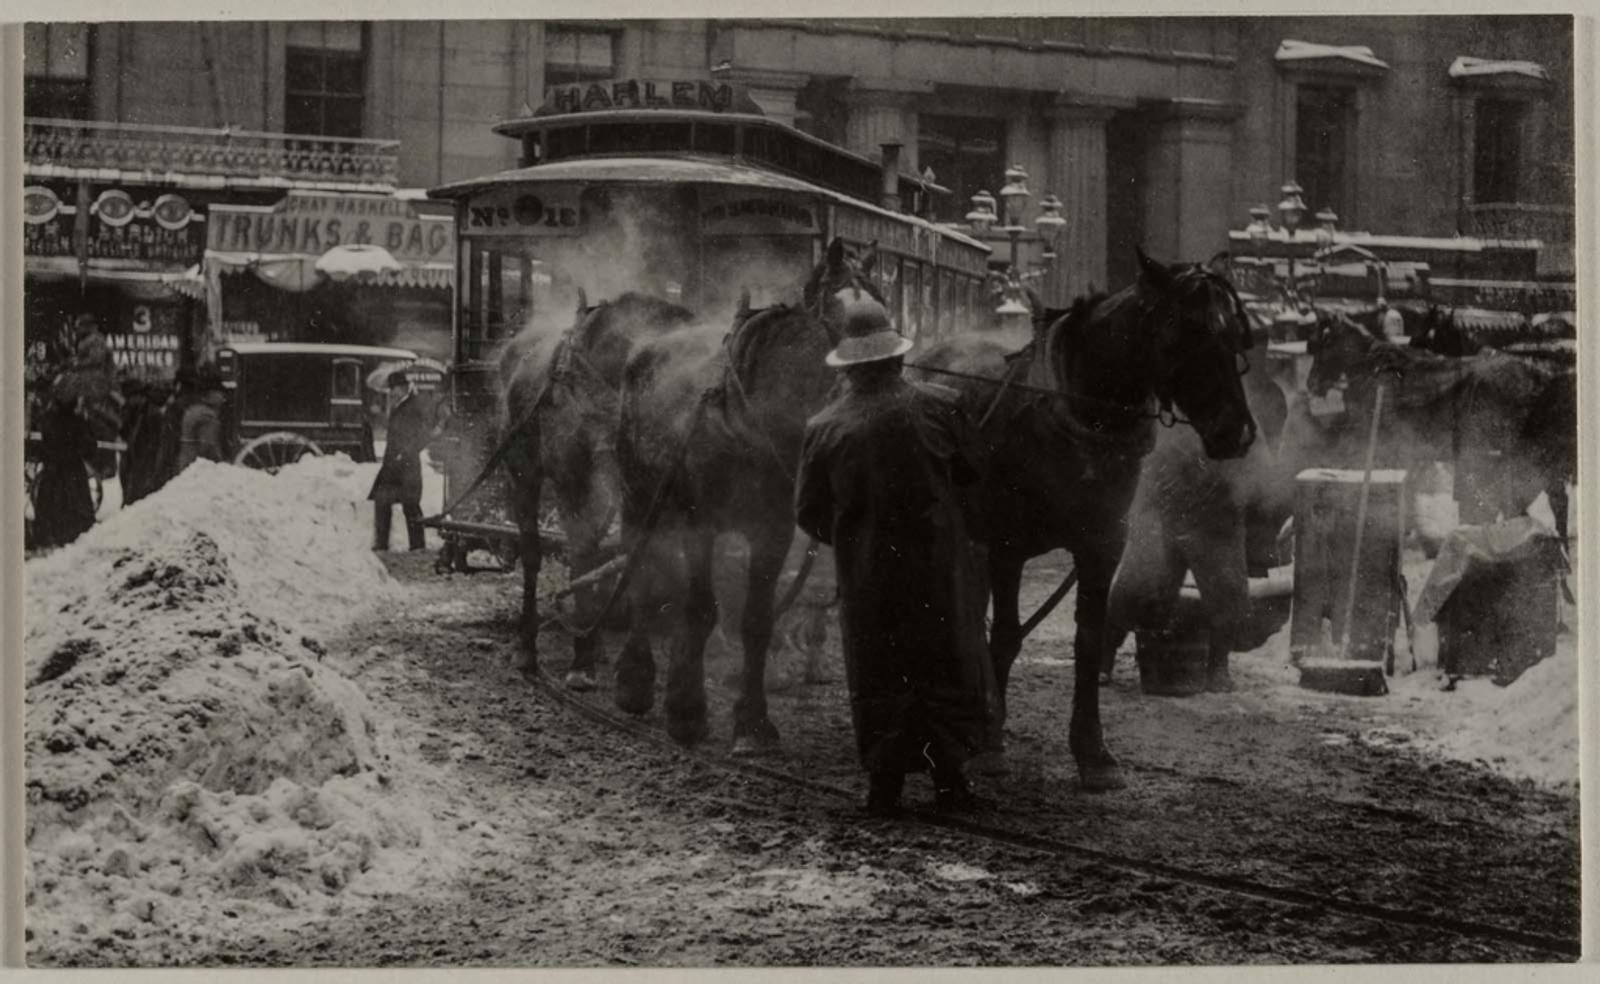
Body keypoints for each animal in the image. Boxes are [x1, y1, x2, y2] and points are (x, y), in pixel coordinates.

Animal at [496, 288, 697, 681]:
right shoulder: (572, 478)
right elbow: (582, 552)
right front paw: (581, 660)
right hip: (523, 468)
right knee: (533, 550)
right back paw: (529, 645)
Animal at [611, 238, 883, 755]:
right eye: (843, 319)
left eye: (886, 311)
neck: (748, 415)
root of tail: (647, 346)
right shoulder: (699, 523)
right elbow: (700, 609)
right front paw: (687, 713)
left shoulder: (771, 530)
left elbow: (756, 620)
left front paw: (752, 723)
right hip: (640, 498)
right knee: (642, 573)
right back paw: (635, 679)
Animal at [908, 248, 1254, 793]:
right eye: (1187, 330)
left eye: (1235, 333)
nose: (1235, 432)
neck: (1078, 414)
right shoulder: (1008, 546)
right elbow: (1005, 635)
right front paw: (991, 745)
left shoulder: (1101, 547)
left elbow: (1089, 640)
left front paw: (1093, 752)